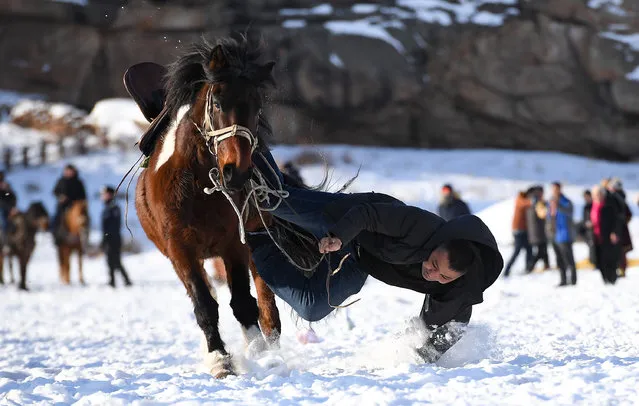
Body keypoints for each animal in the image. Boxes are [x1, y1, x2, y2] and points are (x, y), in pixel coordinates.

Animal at [136, 36, 282, 380]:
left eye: (257, 108)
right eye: (216, 104)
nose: (236, 171)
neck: (197, 188)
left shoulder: (234, 243)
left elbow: (243, 302)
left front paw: (258, 353)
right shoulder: (180, 249)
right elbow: (204, 304)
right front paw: (219, 359)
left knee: (264, 294)